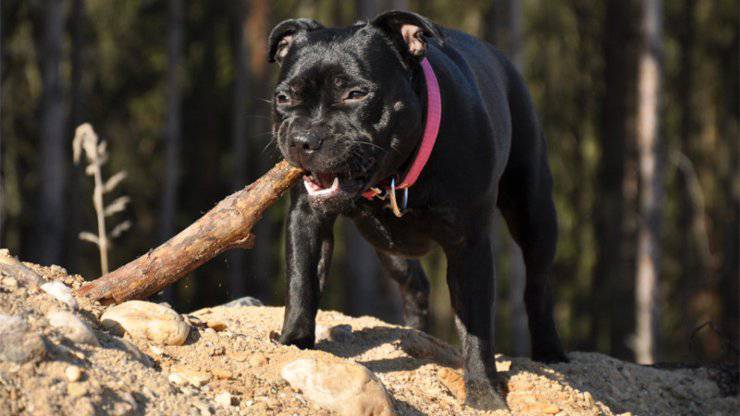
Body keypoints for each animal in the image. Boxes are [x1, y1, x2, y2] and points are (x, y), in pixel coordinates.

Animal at [268, 9, 564, 410]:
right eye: (283, 97)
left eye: (355, 93)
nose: (303, 139)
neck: (397, 173)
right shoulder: (307, 219)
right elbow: (302, 283)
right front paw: (294, 343)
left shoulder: (469, 247)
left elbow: (476, 327)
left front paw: (484, 393)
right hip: (387, 245)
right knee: (416, 284)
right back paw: (415, 335)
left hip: (533, 211)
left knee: (538, 284)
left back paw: (550, 350)